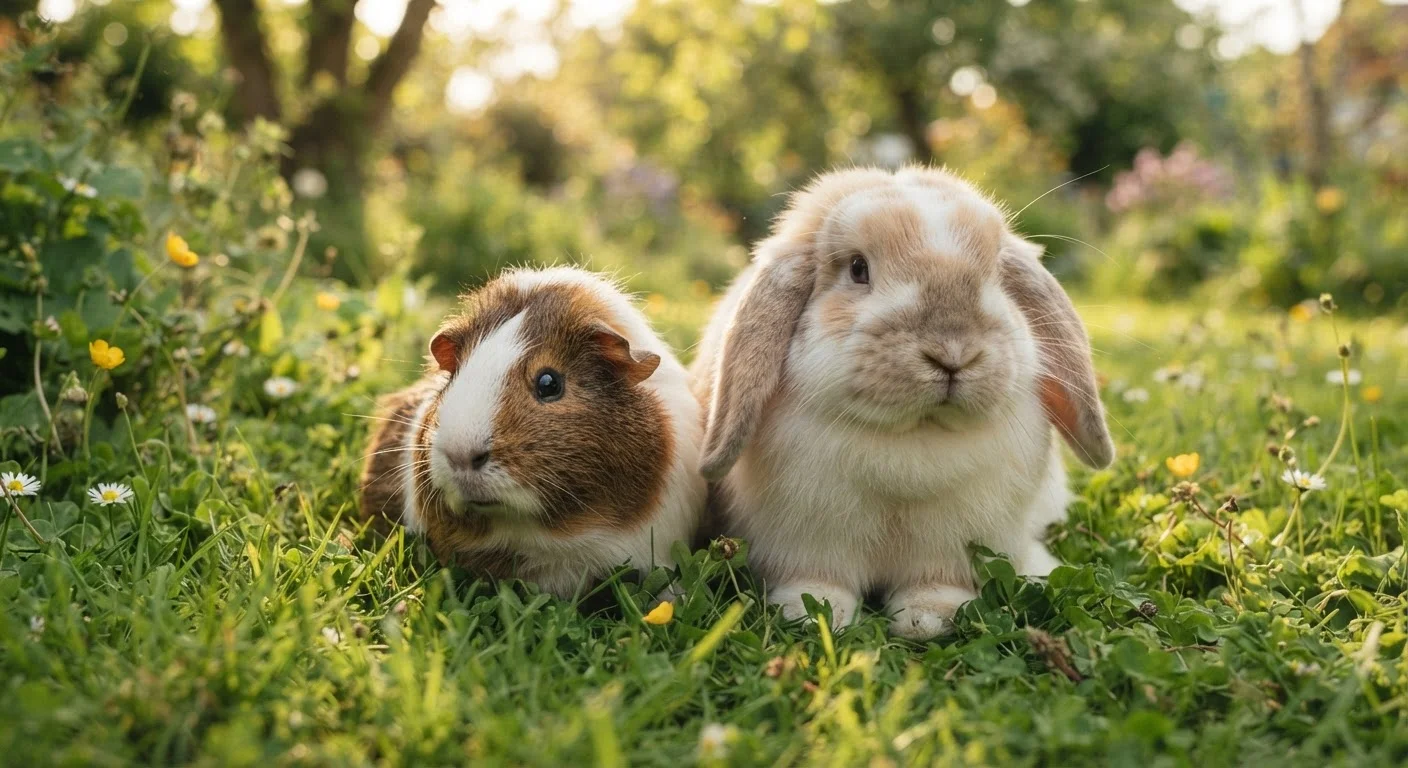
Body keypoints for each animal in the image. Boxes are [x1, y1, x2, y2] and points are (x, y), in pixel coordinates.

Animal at [691, 167, 1114, 640]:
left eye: (996, 276)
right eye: (858, 268)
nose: (953, 352)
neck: (915, 436)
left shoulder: (949, 547)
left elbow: (935, 583)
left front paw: (929, 618)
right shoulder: (807, 541)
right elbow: (817, 579)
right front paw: (813, 612)